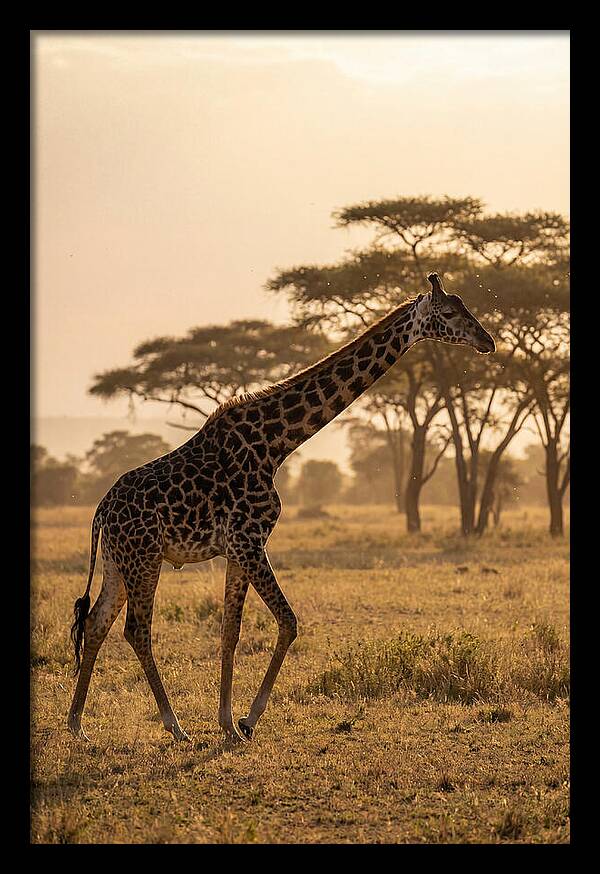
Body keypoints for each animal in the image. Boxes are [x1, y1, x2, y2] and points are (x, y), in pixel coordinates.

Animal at [67, 273, 495, 744]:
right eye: (450, 312)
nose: (488, 341)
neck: (276, 444)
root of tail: (101, 511)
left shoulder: (238, 549)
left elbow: (230, 630)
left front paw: (228, 724)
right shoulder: (249, 540)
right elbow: (288, 622)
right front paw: (248, 719)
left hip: (118, 562)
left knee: (96, 622)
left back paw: (77, 724)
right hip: (144, 558)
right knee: (136, 629)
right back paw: (174, 727)